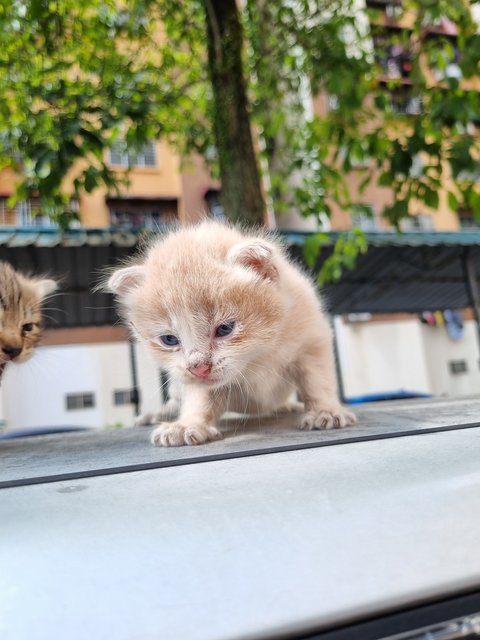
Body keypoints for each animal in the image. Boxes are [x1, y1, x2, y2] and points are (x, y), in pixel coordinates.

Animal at [109, 222, 356, 448]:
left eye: (225, 329)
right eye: (169, 340)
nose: (199, 368)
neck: (257, 358)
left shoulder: (312, 341)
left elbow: (317, 381)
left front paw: (325, 411)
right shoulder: (192, 378)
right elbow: (199, 397)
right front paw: (187, 424)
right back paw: (154, 415)